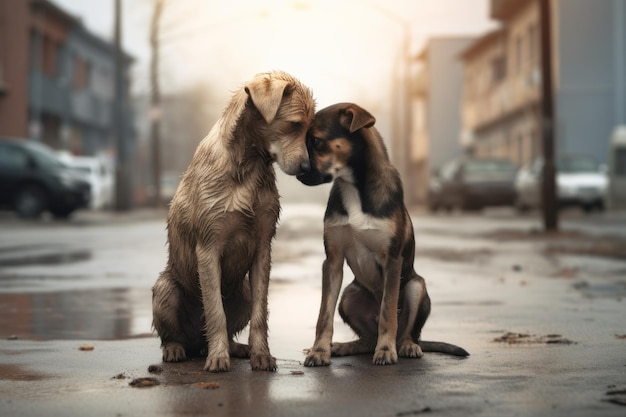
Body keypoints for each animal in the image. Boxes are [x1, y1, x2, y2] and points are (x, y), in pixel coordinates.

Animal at [151, 70, 314, 370]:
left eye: (309, 130)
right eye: (294, 125)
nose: (308, 169)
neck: (248, 165)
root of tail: (196, 344)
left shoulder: (262, 248)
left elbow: (260, 313)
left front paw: (261, 354)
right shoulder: (208, 249)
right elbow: (215, 311)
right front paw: (218, 358)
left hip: (243, 294)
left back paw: (237, 348)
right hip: (166, 290)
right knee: (173, 335)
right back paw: (178, 349)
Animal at [294, 103, 466, 364]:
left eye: (315, 140)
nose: (297, 173)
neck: (354, 187)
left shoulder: (392, 260)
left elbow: (388, 312)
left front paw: (385, 350)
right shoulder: (332, 261)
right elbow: (324, 314)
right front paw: (319, 351)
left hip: (415, 286)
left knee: (407, 332)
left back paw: (405, 346)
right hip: (349, 295)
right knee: (366, 340)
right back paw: (343, 346)